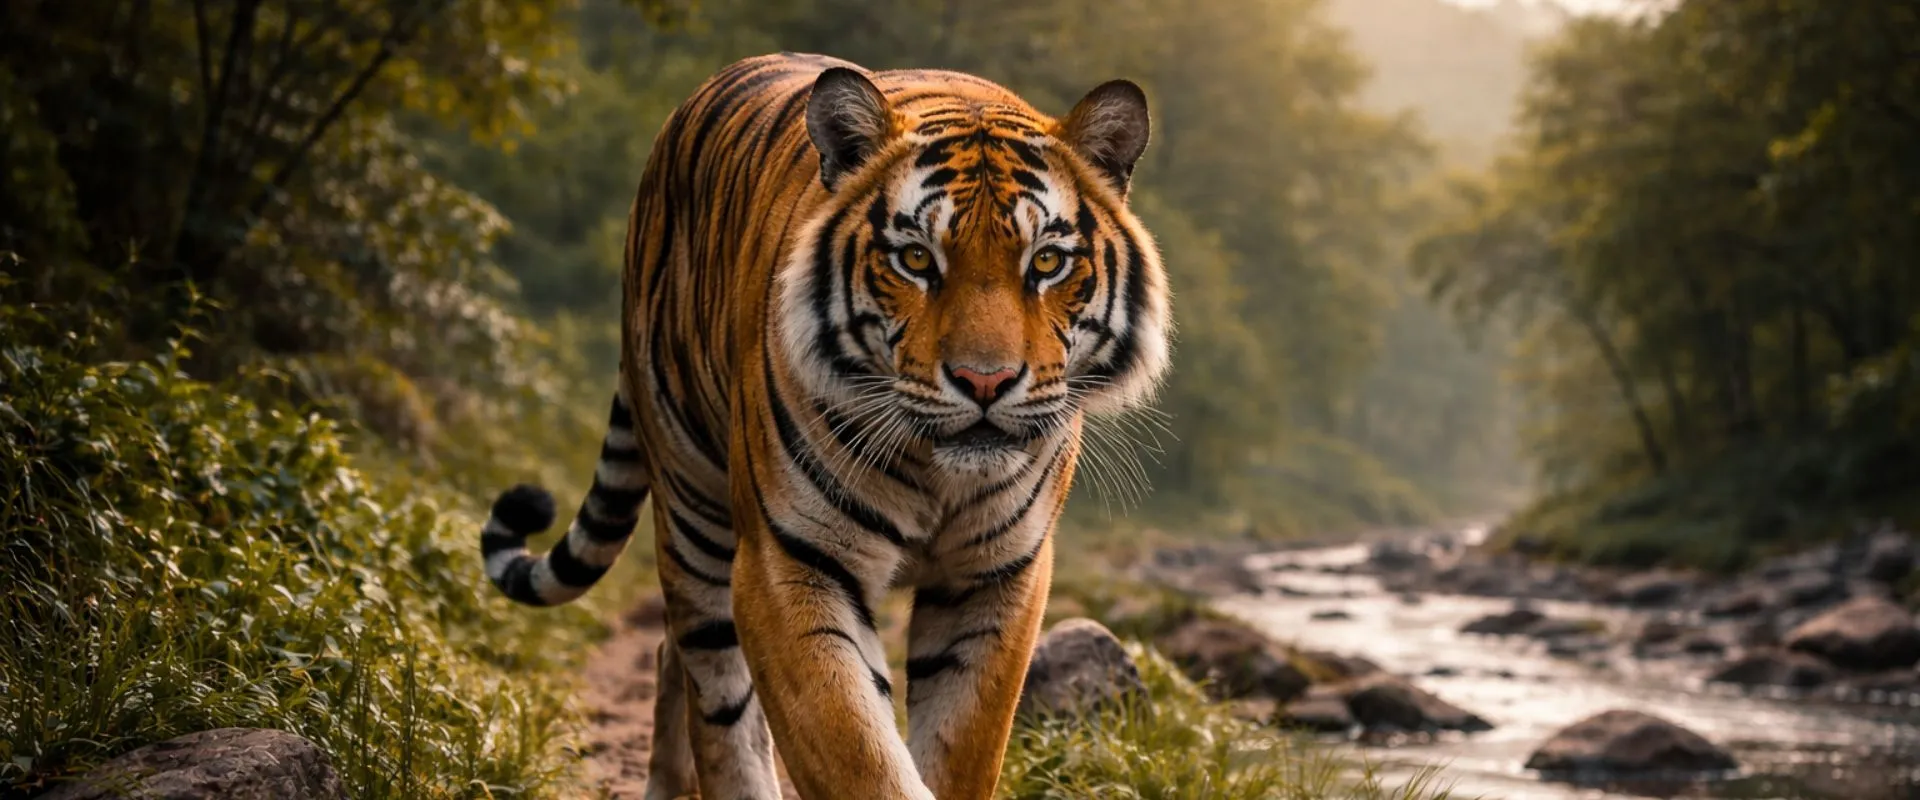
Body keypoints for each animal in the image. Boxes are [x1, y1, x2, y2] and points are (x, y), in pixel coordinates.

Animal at [478, 52, 1171, 799]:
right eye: (916, 259)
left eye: (1046, 261)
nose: (984, 381)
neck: (934, 471)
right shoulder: (791, 565)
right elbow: (858, 758)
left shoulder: (995, 578)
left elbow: (959, 750)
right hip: (694, 508)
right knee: (715, 696)